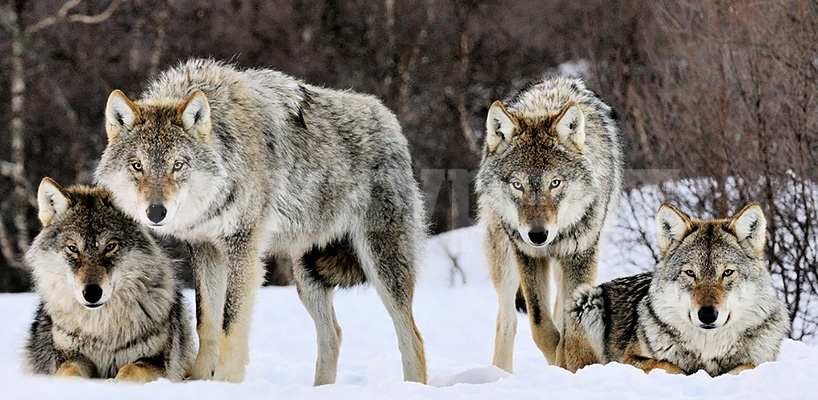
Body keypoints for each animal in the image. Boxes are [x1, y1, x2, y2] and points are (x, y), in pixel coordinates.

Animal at [22, 177, 193, 382]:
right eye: (73, 248)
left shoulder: (157, 362)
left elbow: (131, 369)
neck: (101, 330)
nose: (92, 293)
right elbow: (69, 372)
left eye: (110, 246)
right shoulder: (69, 356)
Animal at [94, 59, 428, 384]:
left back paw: (412, 386)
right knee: (333, 335)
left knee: (413, 337)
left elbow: (230, 323)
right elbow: (207, 322)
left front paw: (226, 382)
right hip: (307, 277)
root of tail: (389, 120)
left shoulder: (243, 247)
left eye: (178, 165)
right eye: (137, 166)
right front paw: (199, 380)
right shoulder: (205, 249)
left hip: (382, 266)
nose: (156, 212)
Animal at [472, 76, 620, 374]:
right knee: (507, 318)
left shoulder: (581, 255)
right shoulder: (527, 255)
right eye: (517, 184)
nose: (538, 235)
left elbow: (569, 326)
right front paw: (559, 362)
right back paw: (500, 374)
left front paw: (571, 363)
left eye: (555, 183)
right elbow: (540, 326)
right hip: (504, 260)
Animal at [568, 205, 792, 376]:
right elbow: (670, 366)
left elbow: (746, 366)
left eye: (727, 272)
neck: (708, 349)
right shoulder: (629, 359)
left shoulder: (761, 361)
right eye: (690, 273)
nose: (707, 314)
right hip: (585, 300)